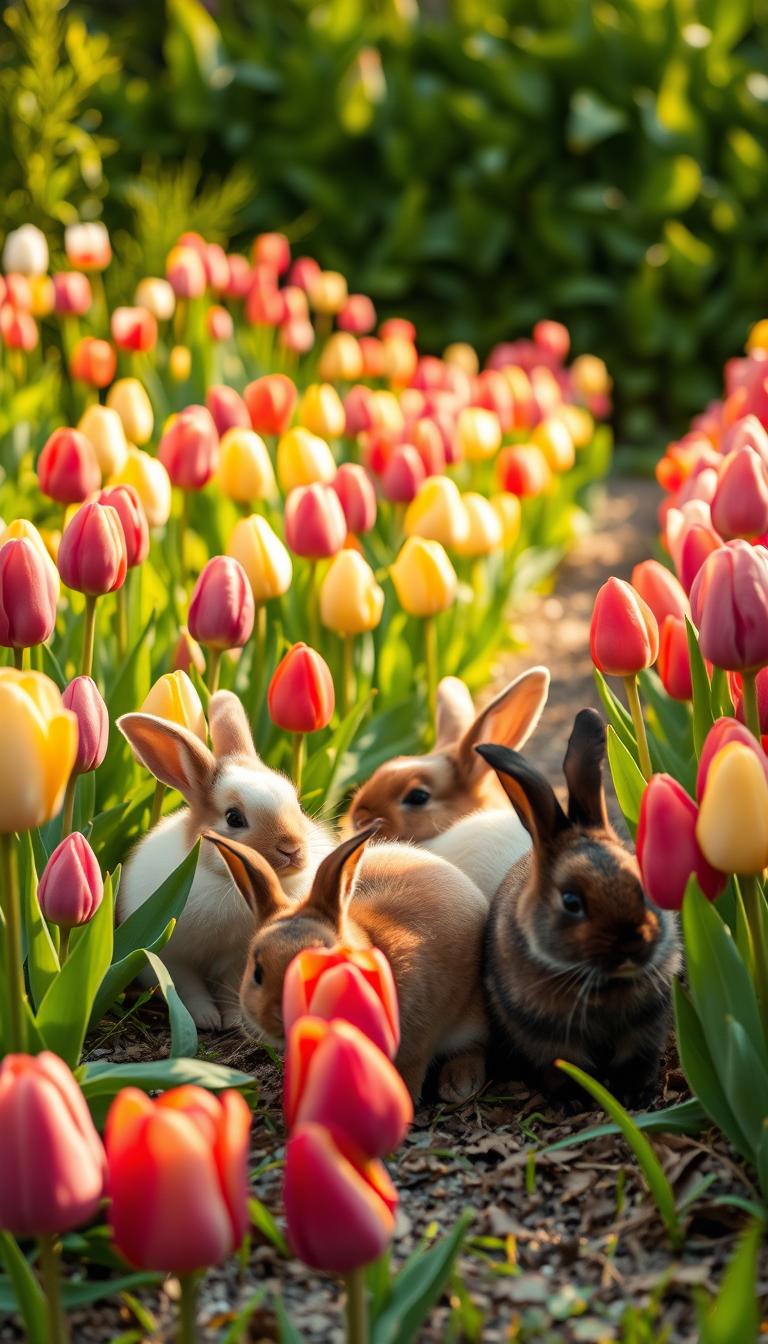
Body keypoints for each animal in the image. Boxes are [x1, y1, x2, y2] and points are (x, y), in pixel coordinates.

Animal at [116, 691, 334, 1031]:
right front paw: (206, 1020)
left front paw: (233, 1020)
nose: (292, 849)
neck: (227, 879)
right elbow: (188, 989)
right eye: (234, 818)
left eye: (297, 805)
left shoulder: (237, 959)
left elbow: (230, 986)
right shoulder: (174, 957)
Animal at [479, 708, 681, 1106]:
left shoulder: (643, 1029)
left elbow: (636, 1060)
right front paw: (580, 1101)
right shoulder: (549, 1040)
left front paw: (633, 1094)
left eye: (641, 879)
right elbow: (570, 1070)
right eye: (571, 902)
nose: (632, 942)